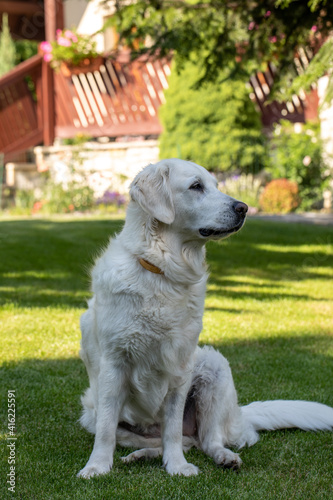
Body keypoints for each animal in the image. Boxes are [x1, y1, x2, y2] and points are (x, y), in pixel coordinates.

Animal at [77, 159, 332, 476]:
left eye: (216, 185)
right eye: (196, 186)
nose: (244, 207)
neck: (164, 272)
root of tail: (238, 415)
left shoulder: (180, 366)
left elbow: (173, 428)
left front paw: (177, 467)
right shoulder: (113, 364)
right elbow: (106, 429)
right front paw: (97, 466)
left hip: (214, 367)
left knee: (206, 440)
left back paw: (224, 457)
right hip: (93, 409)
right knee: (176, 440)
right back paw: (140, 455)